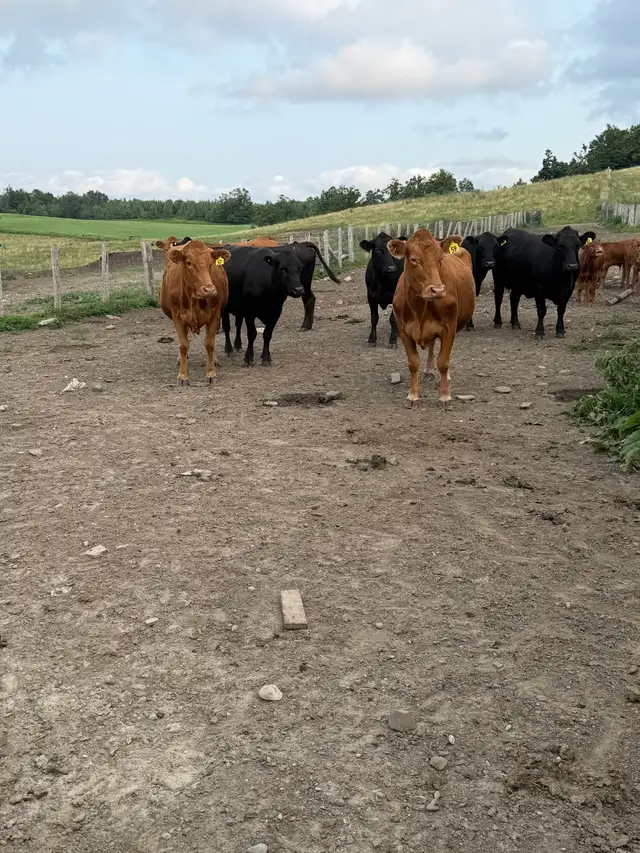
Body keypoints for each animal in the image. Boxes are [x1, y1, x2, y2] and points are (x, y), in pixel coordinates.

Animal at [157, 239, 231, 385]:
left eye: (211, 263)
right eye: (189, 263)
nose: (209, 289)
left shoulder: (215, 314)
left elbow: (209, 344)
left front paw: (211, 372)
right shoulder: (177, 316)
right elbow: (183, 345)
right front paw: (183, 375)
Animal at [387, 230, 475, 407]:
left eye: (440, 259)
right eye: (414, 259)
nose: (438, 290)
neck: (419, 309)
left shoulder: (449, 327)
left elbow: (443, 362)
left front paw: (445, 395)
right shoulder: (403, 330)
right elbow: (413, 362)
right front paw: (413, 395)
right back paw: (428, 370)